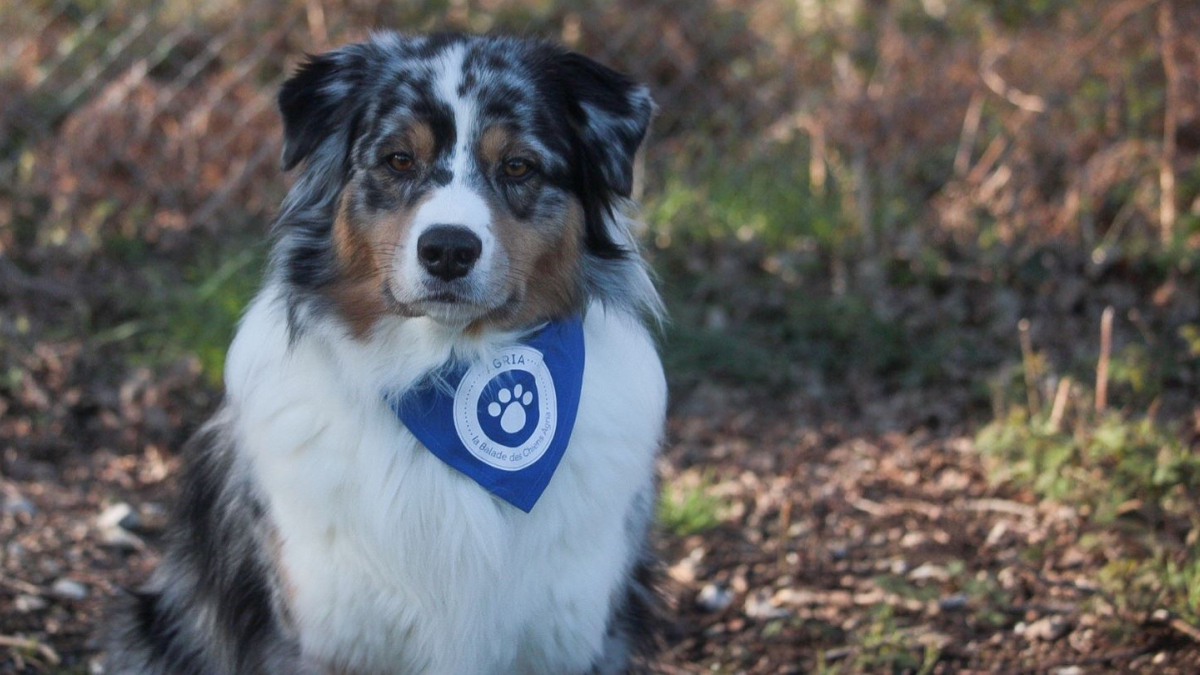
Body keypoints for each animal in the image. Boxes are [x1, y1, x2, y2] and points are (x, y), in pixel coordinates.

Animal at [105, 31, 667, 672]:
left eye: (518, 165)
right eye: (399, 159)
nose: (447, 250)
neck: (446, 369)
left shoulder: (572, 636)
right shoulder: (322, 633)